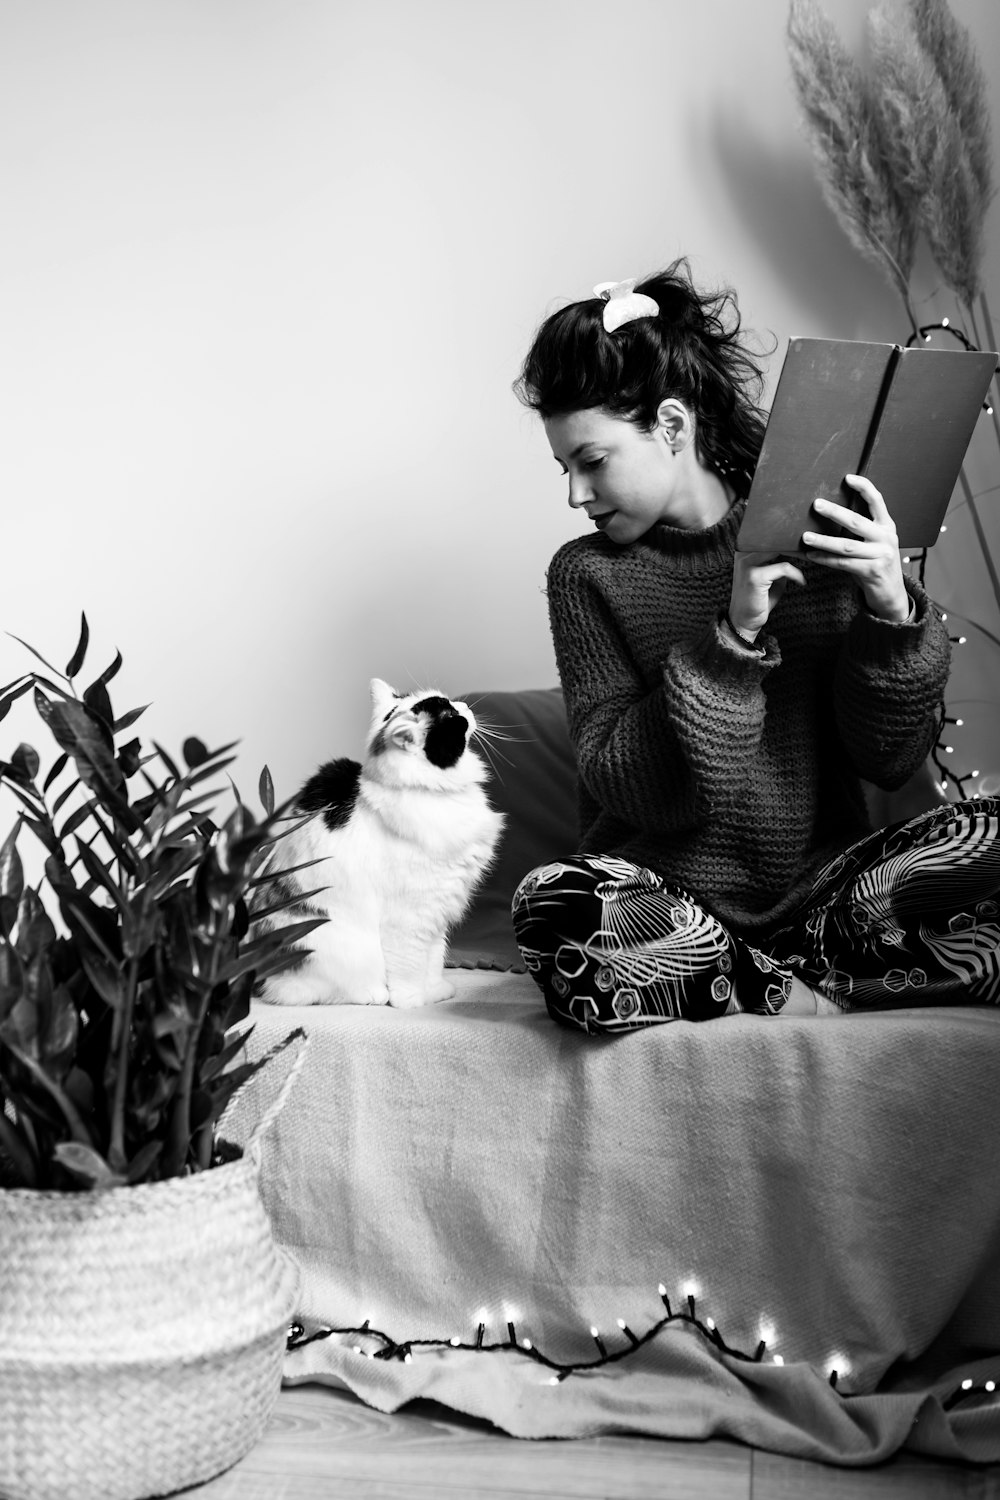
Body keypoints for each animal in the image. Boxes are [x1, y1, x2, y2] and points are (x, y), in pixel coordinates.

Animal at [247, 681, 503, 1008]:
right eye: (449, 713)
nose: (465, 706)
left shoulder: (437, 913)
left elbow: (433, 960)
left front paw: (434, 993)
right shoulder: (410, 917)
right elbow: (409, 967)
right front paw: (411, 1002)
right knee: (309, 992)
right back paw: (374, 994)